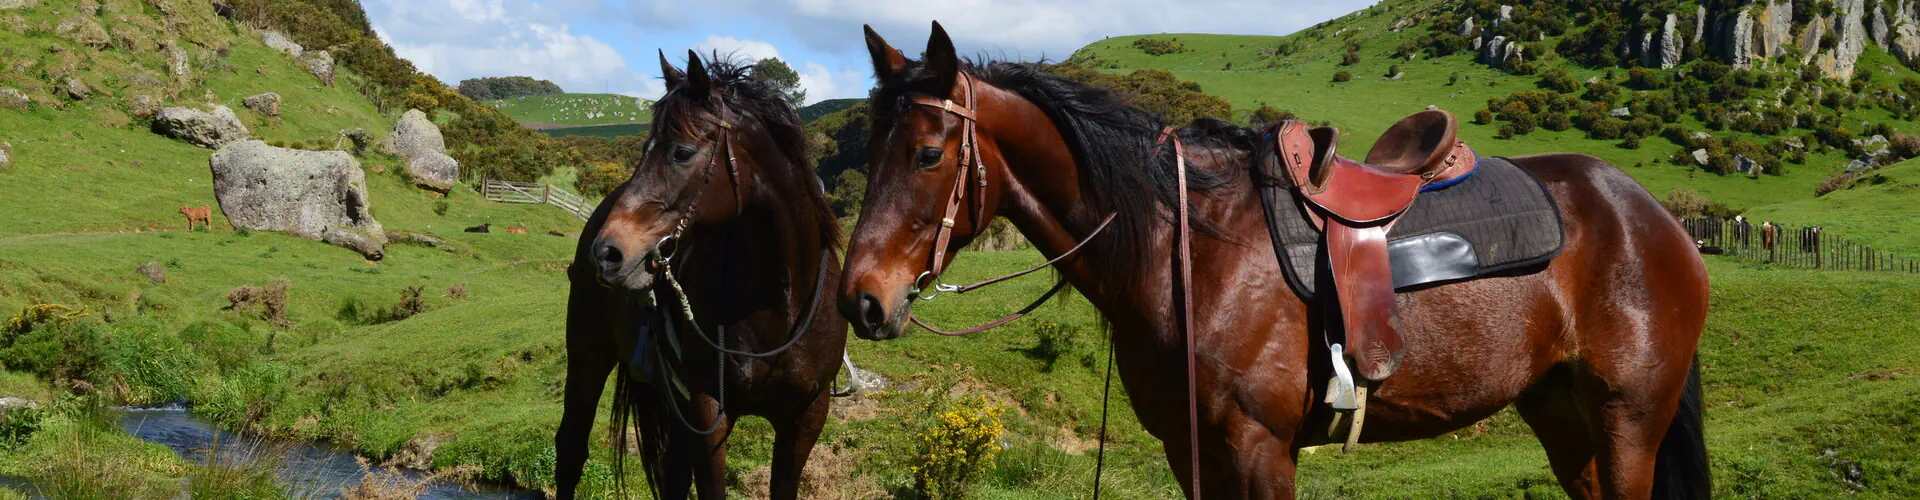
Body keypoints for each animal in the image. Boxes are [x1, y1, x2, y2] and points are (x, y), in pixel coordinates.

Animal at [560, 50, 852, 500]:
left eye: (682, 152)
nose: (607, 253)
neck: (779, 301)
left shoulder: (806, 417)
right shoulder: (708, 410)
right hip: (587, 361)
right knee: (571, 449)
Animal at [840, 23, 1712, 500]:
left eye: (926, 154)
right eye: (869, 150)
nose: (861, 301)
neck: (1190, 250)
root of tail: (1653, 217)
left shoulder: (1260, 450)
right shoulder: (1191, 450)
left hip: (1628, 420)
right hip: (1561, 414)